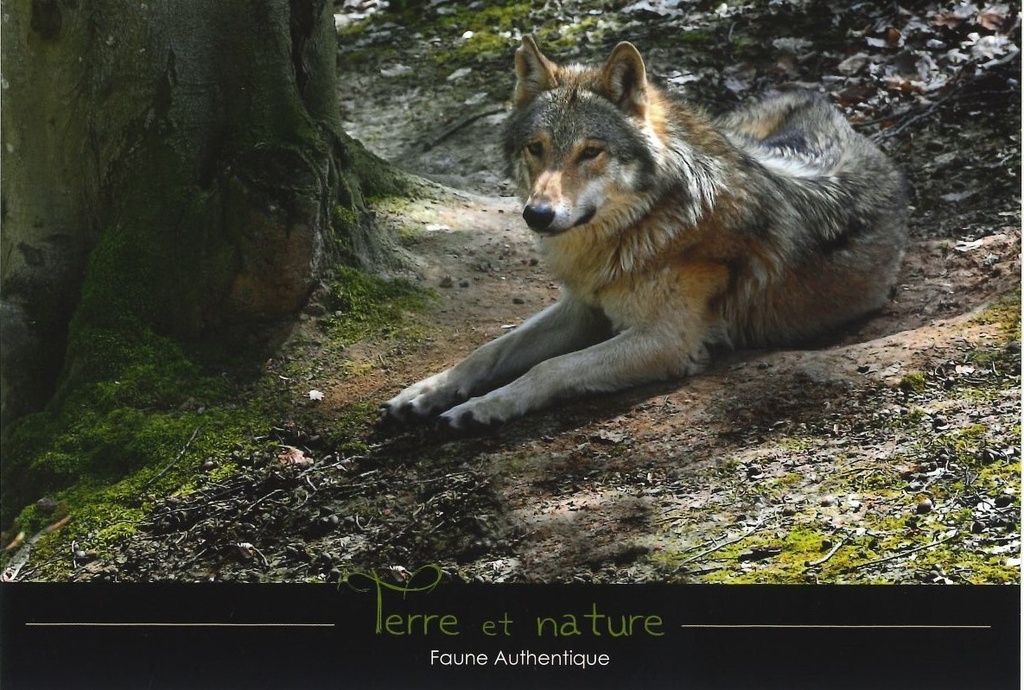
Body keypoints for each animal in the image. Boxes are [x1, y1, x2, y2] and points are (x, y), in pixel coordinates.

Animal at [383, 35, 908, 430]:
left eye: (590, 151)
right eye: (537, 148)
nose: (538, 215)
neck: (637, 229)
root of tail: (824, 101)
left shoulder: (667, 339)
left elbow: (549, 367)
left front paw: (482, 407)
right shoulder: (583, 307)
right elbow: (490, 350)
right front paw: (428, 391)